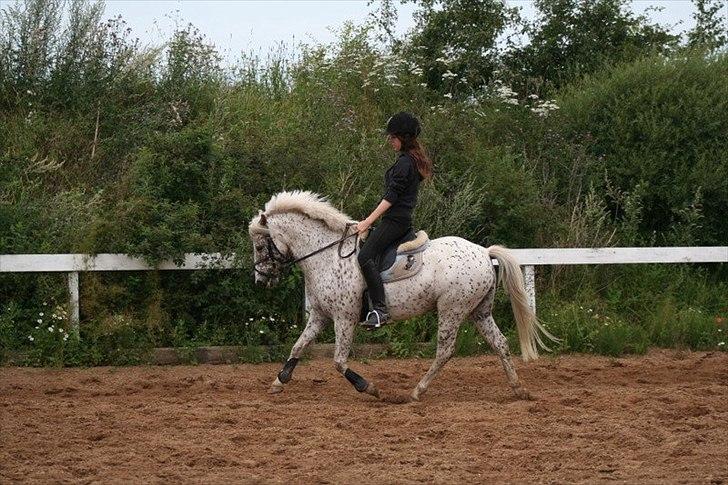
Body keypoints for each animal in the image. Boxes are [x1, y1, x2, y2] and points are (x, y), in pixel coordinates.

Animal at [249, 190, 556, 400]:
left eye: (260, 247)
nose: (260, 280)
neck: (327, 255)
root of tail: (483, 252)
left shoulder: (344, 318)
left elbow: (338, 361)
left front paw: (369, 387)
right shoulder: (320, 316)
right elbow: (298, 347)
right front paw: (279, 381)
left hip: (452, 309)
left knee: (445, 351)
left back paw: (417, 391)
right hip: (479, 311)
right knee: (500, 343)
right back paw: (518, 389)